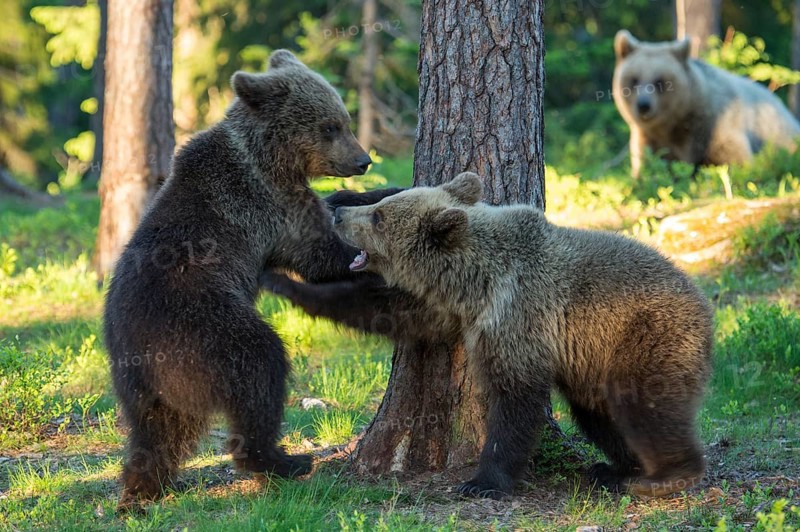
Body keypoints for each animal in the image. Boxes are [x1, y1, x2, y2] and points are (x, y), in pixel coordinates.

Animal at [104, 49, 407, 511]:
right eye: (331, 125)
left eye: (344, 120)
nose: (363, 161)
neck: (271, 158)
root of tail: (140, 350)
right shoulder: (265, 205)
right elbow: (320, 254)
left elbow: (333, 206)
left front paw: (388, 191)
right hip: (204, 328)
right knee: (259, 368)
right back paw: (283, 460)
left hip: (138, 381)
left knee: (157, 431)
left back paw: (143, 488)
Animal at [262, 172, 715, 499]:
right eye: (378, 206)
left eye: (378, 218)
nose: (339, 215)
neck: (478, 280)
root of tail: (704, 305)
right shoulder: (451, 309)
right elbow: (387, 310)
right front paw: (285, 279)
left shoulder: (515, 319)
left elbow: (514, 400)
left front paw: (481, 481)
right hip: (594, 362)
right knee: (598, 414)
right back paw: (616, 468)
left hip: (644, 338)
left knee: (645, 407)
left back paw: (664, 476)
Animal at [613, 30, 800, 178]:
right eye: (634, 80)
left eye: (660, 81)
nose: (643, 105)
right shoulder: (649, 139)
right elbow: (649, 167)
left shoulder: (714, 126)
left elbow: (733, 160)